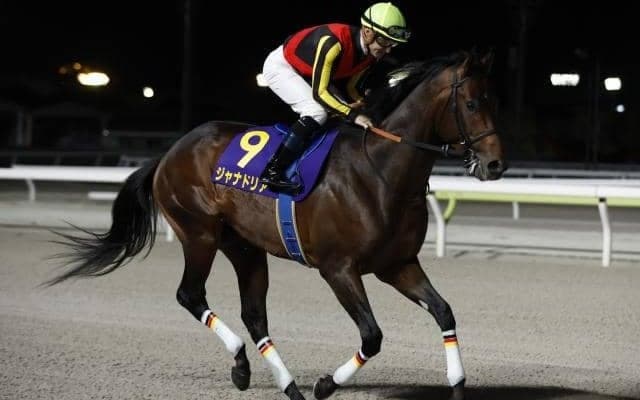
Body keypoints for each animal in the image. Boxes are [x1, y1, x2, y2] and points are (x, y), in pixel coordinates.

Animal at [47, 49, 506, 400]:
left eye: (492, 101)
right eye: (471, 104)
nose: (495, 164)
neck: (379, 171)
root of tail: (170, 152)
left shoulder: (397, 264)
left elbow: (444, 312)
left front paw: (458, 385)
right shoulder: (338, 269)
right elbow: (372, 335)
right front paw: (325, 384)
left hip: (244, 247)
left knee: (254, 315)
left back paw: (272, 379)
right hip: (198, 233)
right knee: (190, 295)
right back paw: (256, 369)